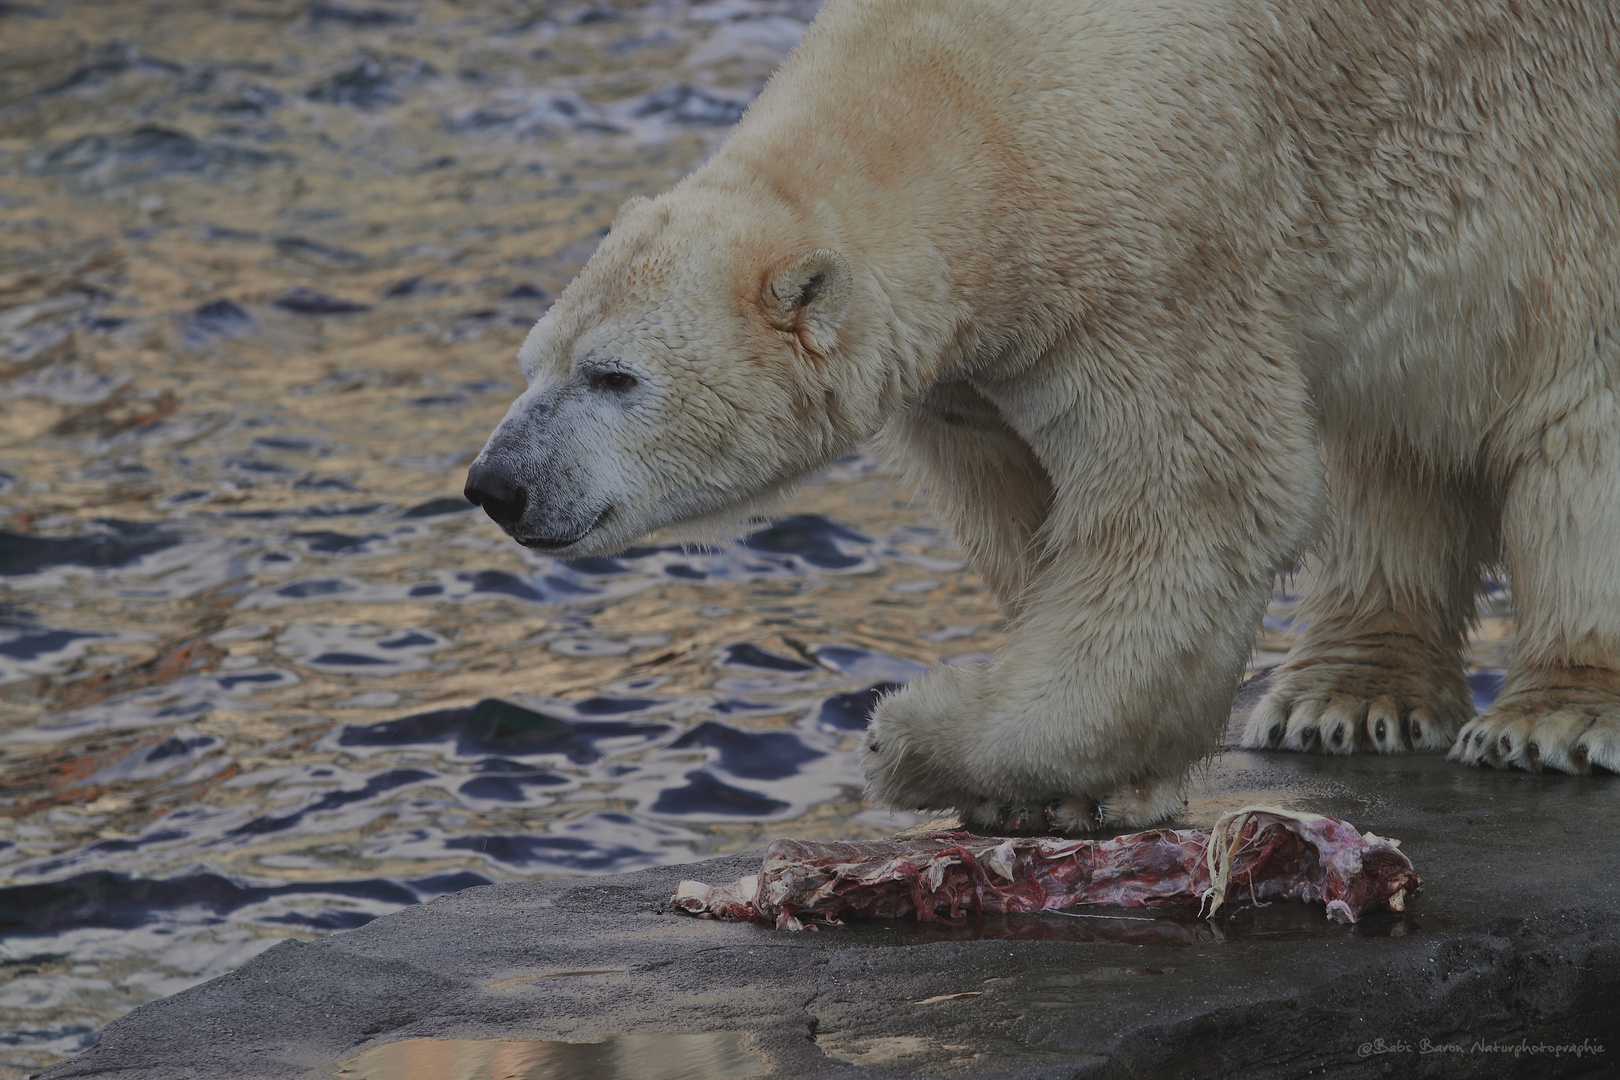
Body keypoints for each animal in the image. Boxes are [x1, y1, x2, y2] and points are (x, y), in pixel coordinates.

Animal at [466, 0, 1620, 835]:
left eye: (612, 377)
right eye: (531, 364)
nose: (495, 485)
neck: (969, 104)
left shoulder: (1148, 252)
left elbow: (1190, 506)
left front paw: (910, 742)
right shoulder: (980, 365)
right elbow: (1029, 513)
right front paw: (1086, 785)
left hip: (1561, 167)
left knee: (1578, 410)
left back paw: (1554, 717)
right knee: (1393, 443)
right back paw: (1348, 697)